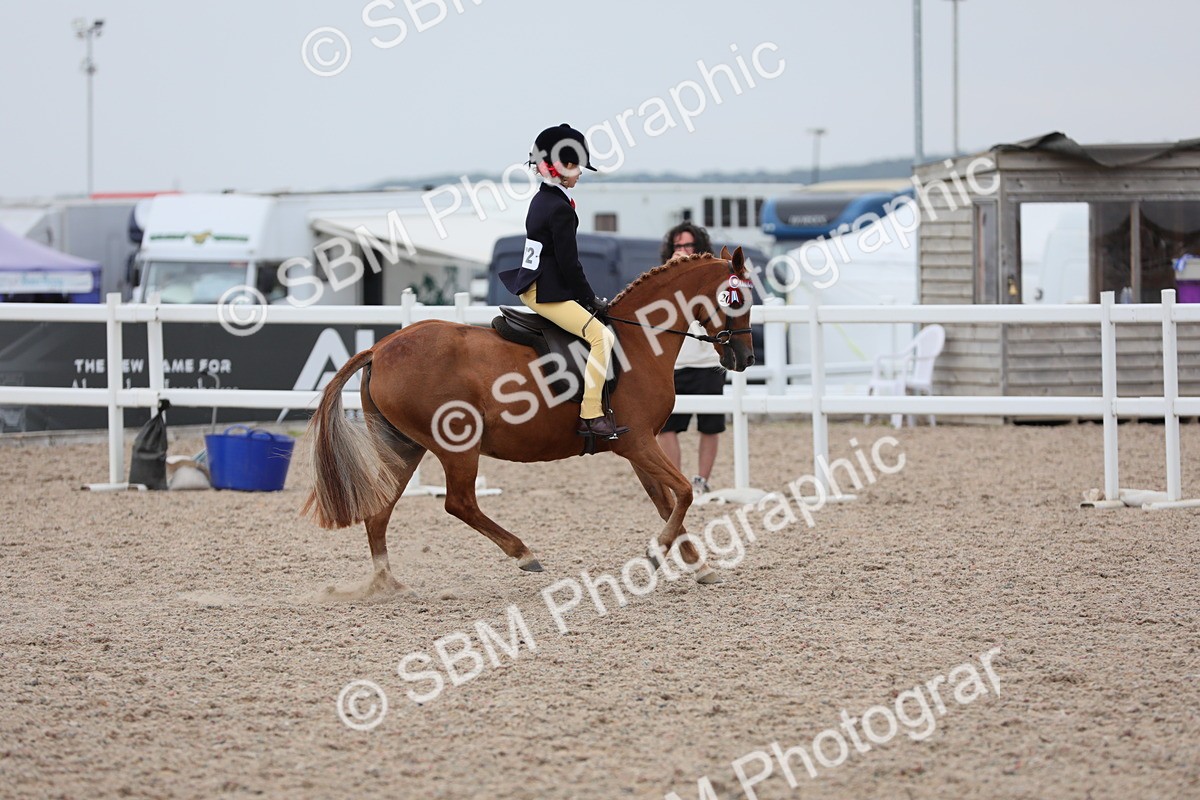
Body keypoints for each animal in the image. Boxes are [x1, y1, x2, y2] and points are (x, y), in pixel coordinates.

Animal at [301, 246, 756, 598]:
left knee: (380, 511)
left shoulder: (636, 447)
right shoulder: (640, 443)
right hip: (456, 444)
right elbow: (684, 493)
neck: (638, 340)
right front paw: (657, 551)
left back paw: (387, 584)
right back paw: (524, 555)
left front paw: (699, 566)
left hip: (404, 446)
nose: (745, 359)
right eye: (737, 300)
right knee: (459, 502)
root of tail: (380, 348)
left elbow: (667, 502)